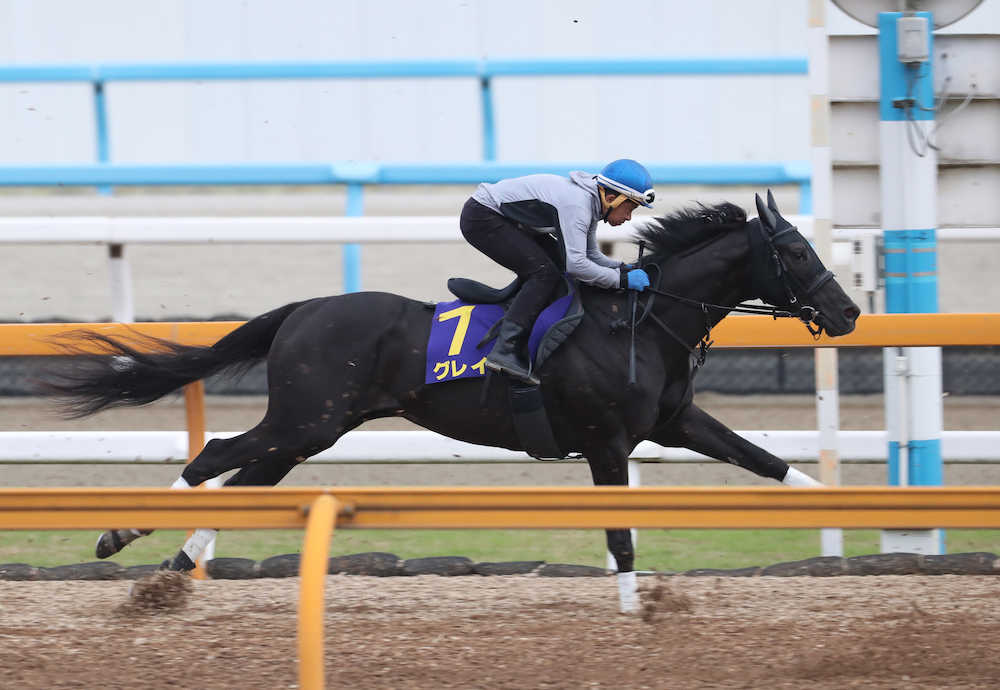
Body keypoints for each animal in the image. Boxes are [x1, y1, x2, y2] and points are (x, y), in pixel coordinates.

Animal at [47, 189, 860, 576]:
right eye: (794, 251)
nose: (849, 312)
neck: (639, 318)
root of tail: (305, 308)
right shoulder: (606, 442)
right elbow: (622, 541)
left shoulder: (674, 424)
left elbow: (768, 462)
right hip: (304, 420)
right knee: (216, 453)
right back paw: (122, 531)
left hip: (314, 427)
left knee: (249, 481)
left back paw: (180, 560)